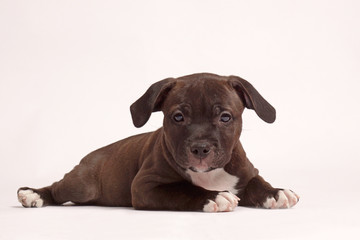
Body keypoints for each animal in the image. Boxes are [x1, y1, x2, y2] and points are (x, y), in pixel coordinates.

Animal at [17, 72, 298, 212]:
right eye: (178, 117)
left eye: (225, 117)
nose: (200, 148)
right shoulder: (145, 187)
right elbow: (183, 190)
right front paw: (215, 197)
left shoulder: (247, 173)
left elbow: (258, 183)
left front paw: (276, 192)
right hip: (82, 184)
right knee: (58, 188)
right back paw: (33, 194)